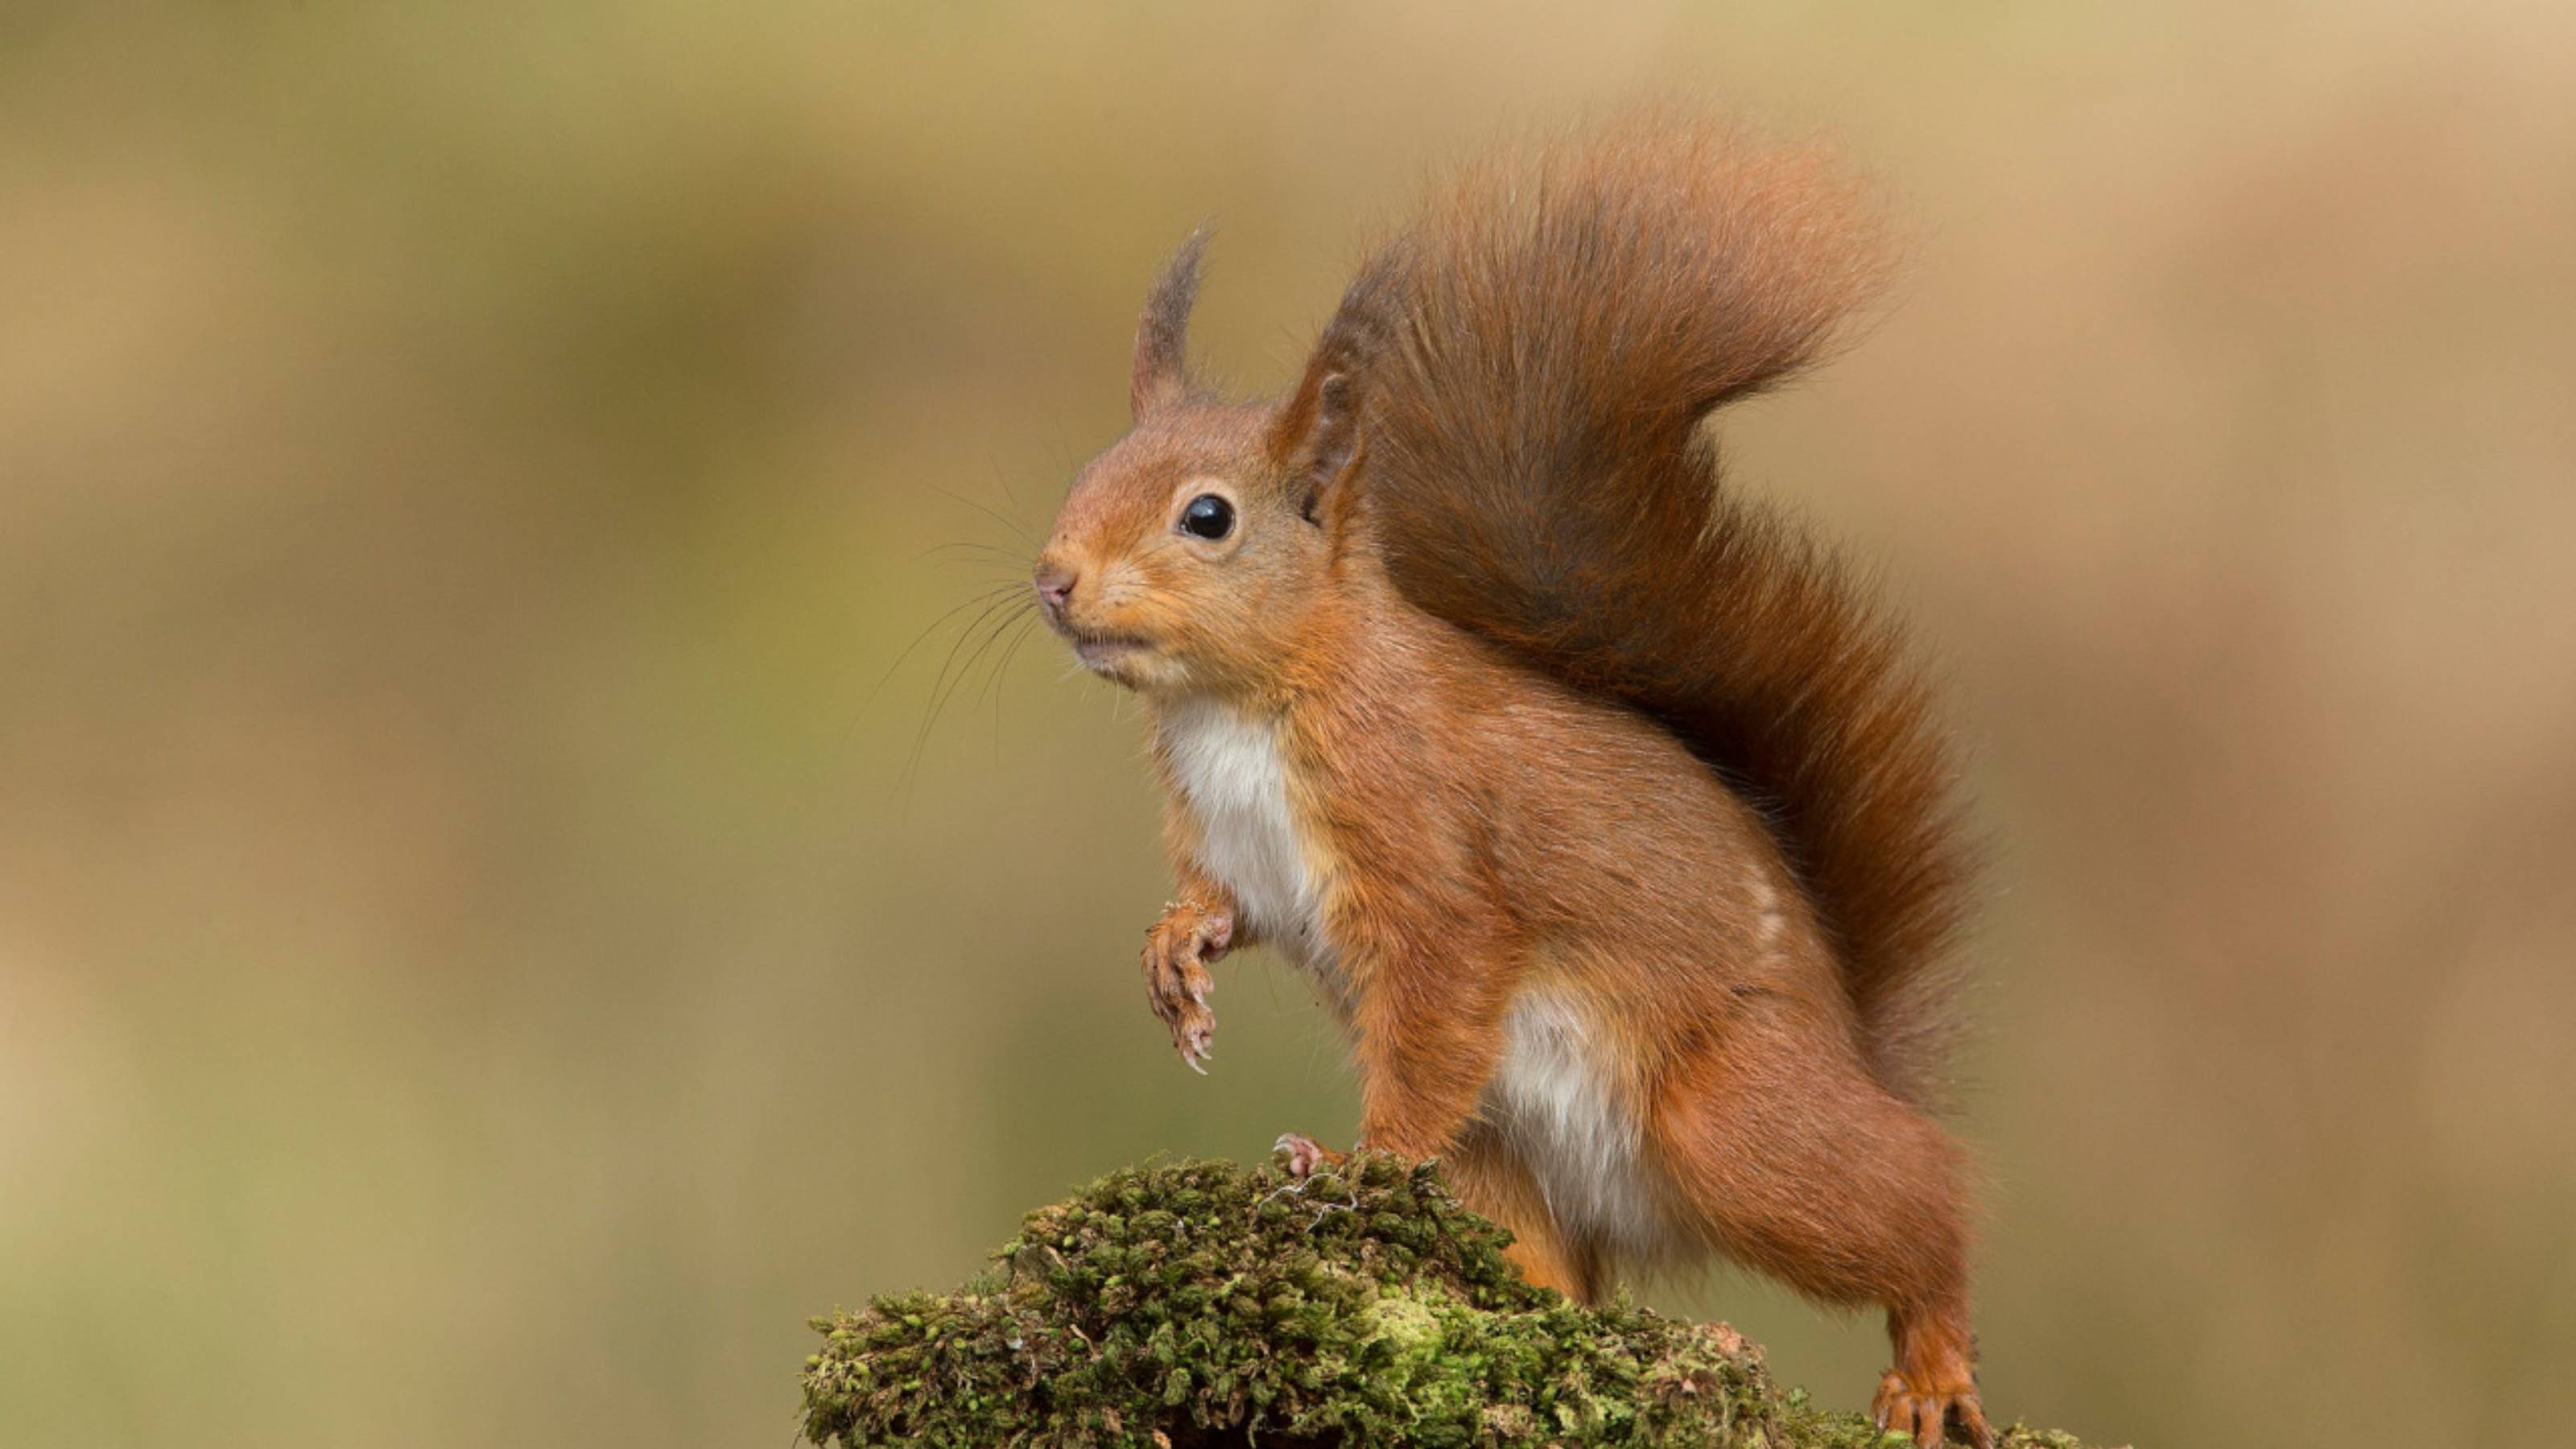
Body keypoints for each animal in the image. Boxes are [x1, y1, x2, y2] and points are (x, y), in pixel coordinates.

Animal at [1025, 121, 1988, 1443]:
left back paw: (1931, 1359)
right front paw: (1175, 950)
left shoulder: (1423, 837)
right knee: (1555, 1276)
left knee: (1922, 1196)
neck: (1234, 712)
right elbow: (1227, 908)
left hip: (1727, 1119)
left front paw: (1358, 1165)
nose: (1052, 579)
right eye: (1090, 467)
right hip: (1503, 1166)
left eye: (1206, 518)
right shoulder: (1231, 846)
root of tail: (1849, 1036)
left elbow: (1443, 975)